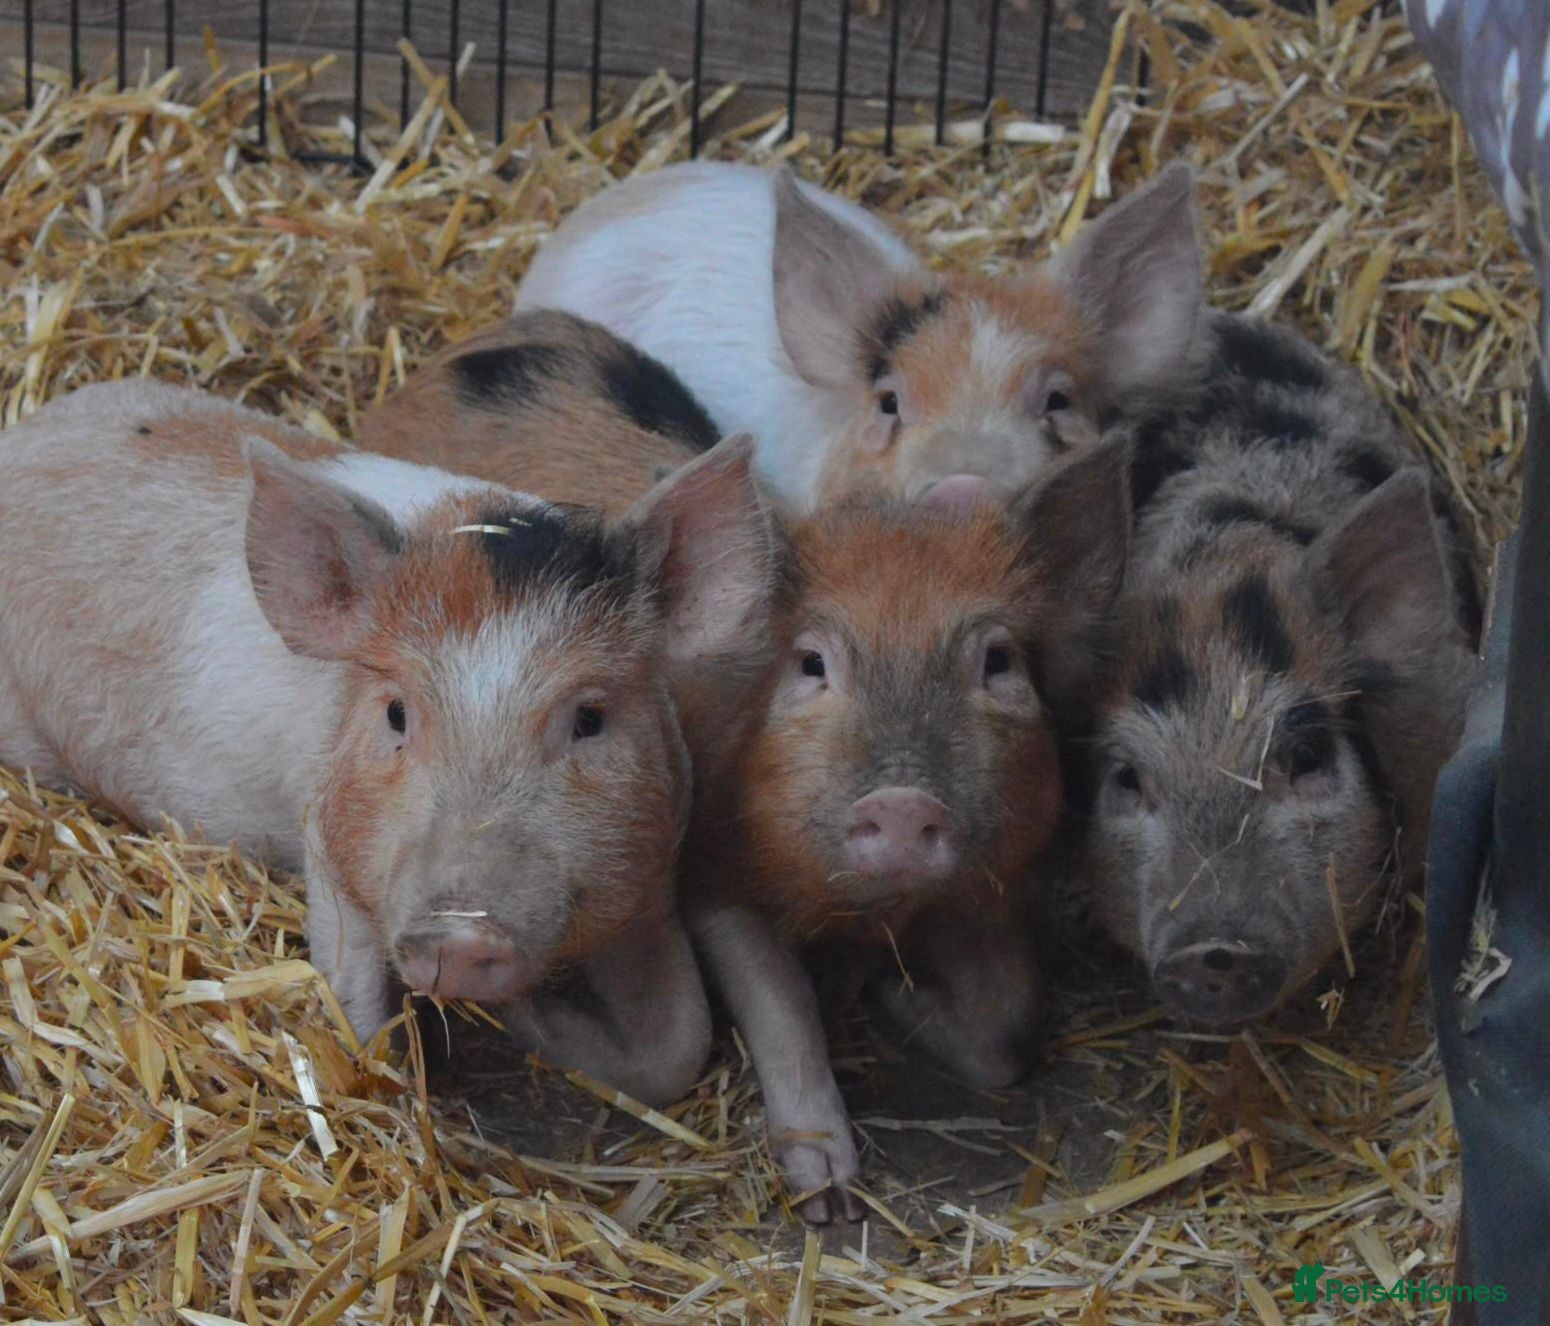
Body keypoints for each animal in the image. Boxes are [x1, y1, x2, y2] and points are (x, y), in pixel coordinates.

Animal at [0, 380, 778, 1106]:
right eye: (397, 714)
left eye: (590, 718)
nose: (458, 933)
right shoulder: (328, 840)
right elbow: (362, 1022)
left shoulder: (653, 872)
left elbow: (680, 1045)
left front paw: (536, 1018)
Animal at [686, 439, 1133, 1223]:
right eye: (811, 663)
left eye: (998, 661)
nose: (901, 802)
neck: (871, 916)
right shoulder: (709, 869)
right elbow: (780, 1000)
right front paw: (829, 1198)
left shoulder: (985, 893)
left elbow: (1010, 1023)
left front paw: (894, 996)